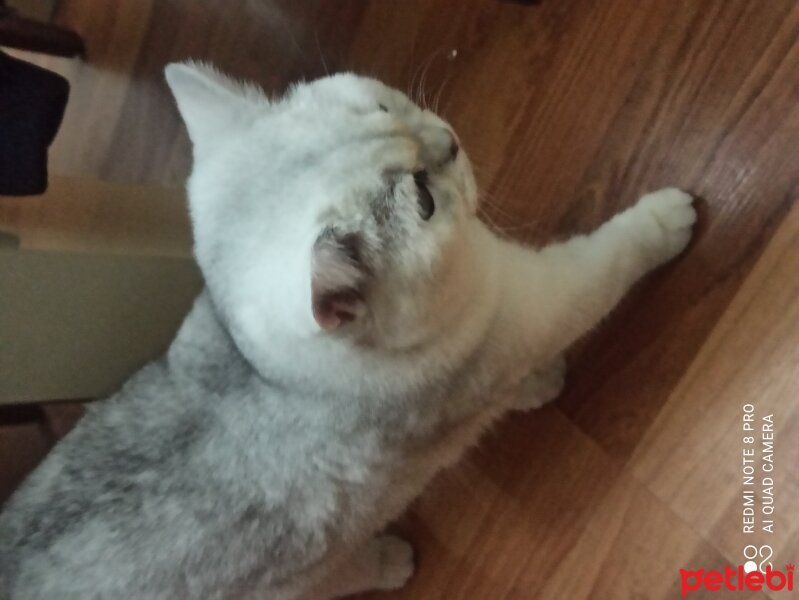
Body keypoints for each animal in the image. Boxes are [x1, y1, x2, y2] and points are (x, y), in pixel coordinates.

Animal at [0, 62, 692, 600]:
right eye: (422, 198)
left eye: (385, 106)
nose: (451, 139)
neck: (263, 374)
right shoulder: (529, 306)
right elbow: (612, 260)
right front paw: (670, 219)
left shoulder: (496, 325)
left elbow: (505, 389)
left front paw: (537, 386)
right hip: (298, 578)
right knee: (340, 576)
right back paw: (388, 560)